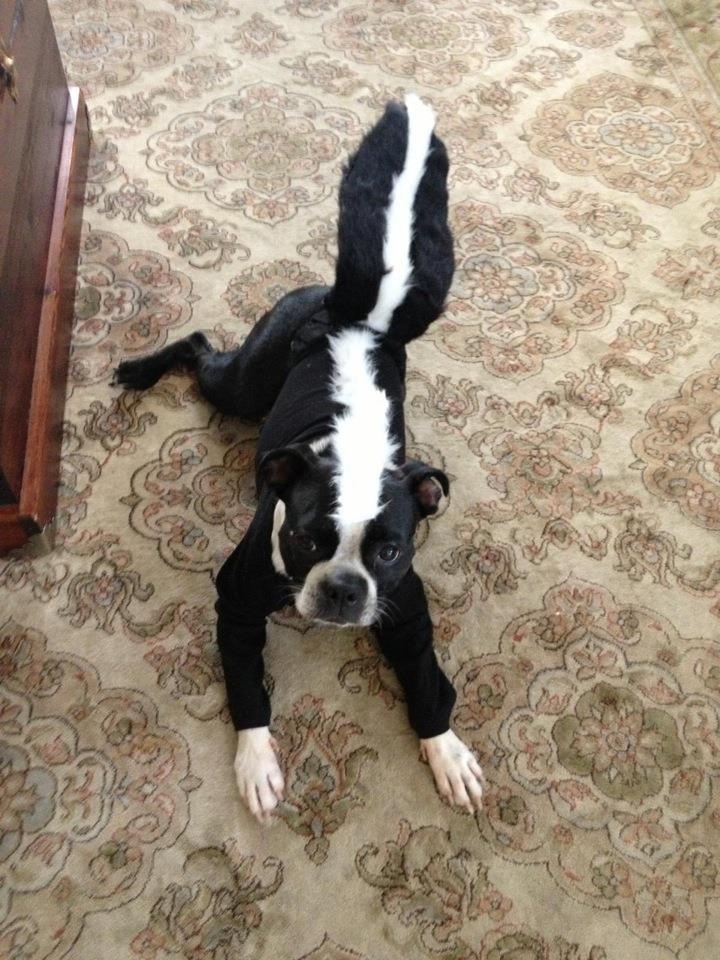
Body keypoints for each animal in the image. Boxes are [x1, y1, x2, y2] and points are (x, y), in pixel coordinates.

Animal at [115, 92, 486, 824]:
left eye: (390, 551)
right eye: (307, 539)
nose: (343, 588)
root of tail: (357, 320)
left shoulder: (408, 612)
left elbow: (427, 683)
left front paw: (447, 752)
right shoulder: (234, 604)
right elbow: (248, 689)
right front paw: (256, 765)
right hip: (242, 381)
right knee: (197, 348)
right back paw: (142, 370)